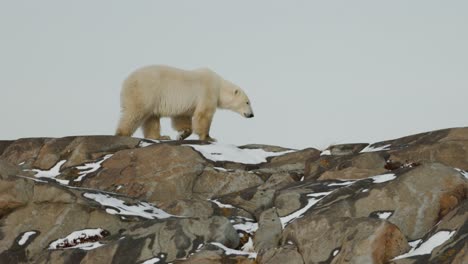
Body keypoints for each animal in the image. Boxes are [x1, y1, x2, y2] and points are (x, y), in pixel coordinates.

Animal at [115, 65, 254, 141]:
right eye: (247, 102)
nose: (252, 115)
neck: (219, 86)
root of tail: (125, 81)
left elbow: (182, 117)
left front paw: (182, 134)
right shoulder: (208, 91)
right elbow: (203, 114)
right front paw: (208, 137)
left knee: (151, 117)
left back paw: (161, 137)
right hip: (145, 91)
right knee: (135, 113)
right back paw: (122, 133)